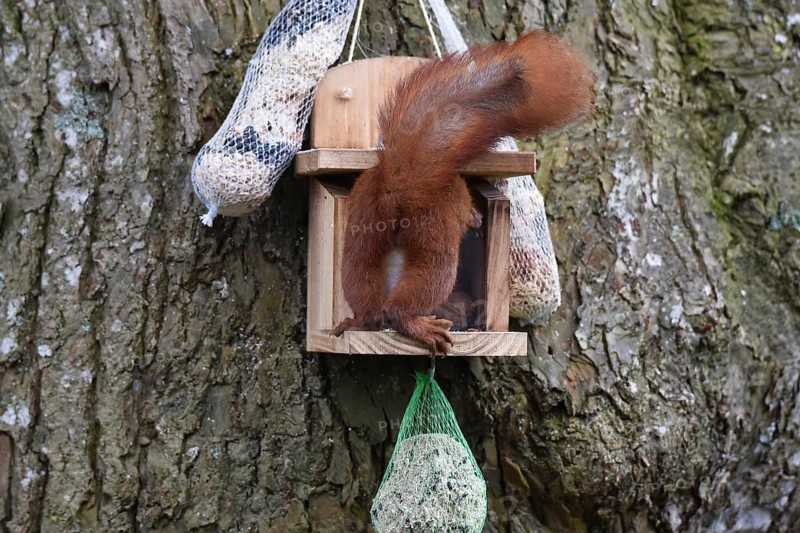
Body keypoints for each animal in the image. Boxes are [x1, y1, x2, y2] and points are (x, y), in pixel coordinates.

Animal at [332, 30, 595, 354]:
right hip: (434, 239)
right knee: (411, 296)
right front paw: (477, 220)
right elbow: (470, 213)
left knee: (364, 288)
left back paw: (355, 321)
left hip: (363, 231)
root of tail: (398, 186)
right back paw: (418, 324)